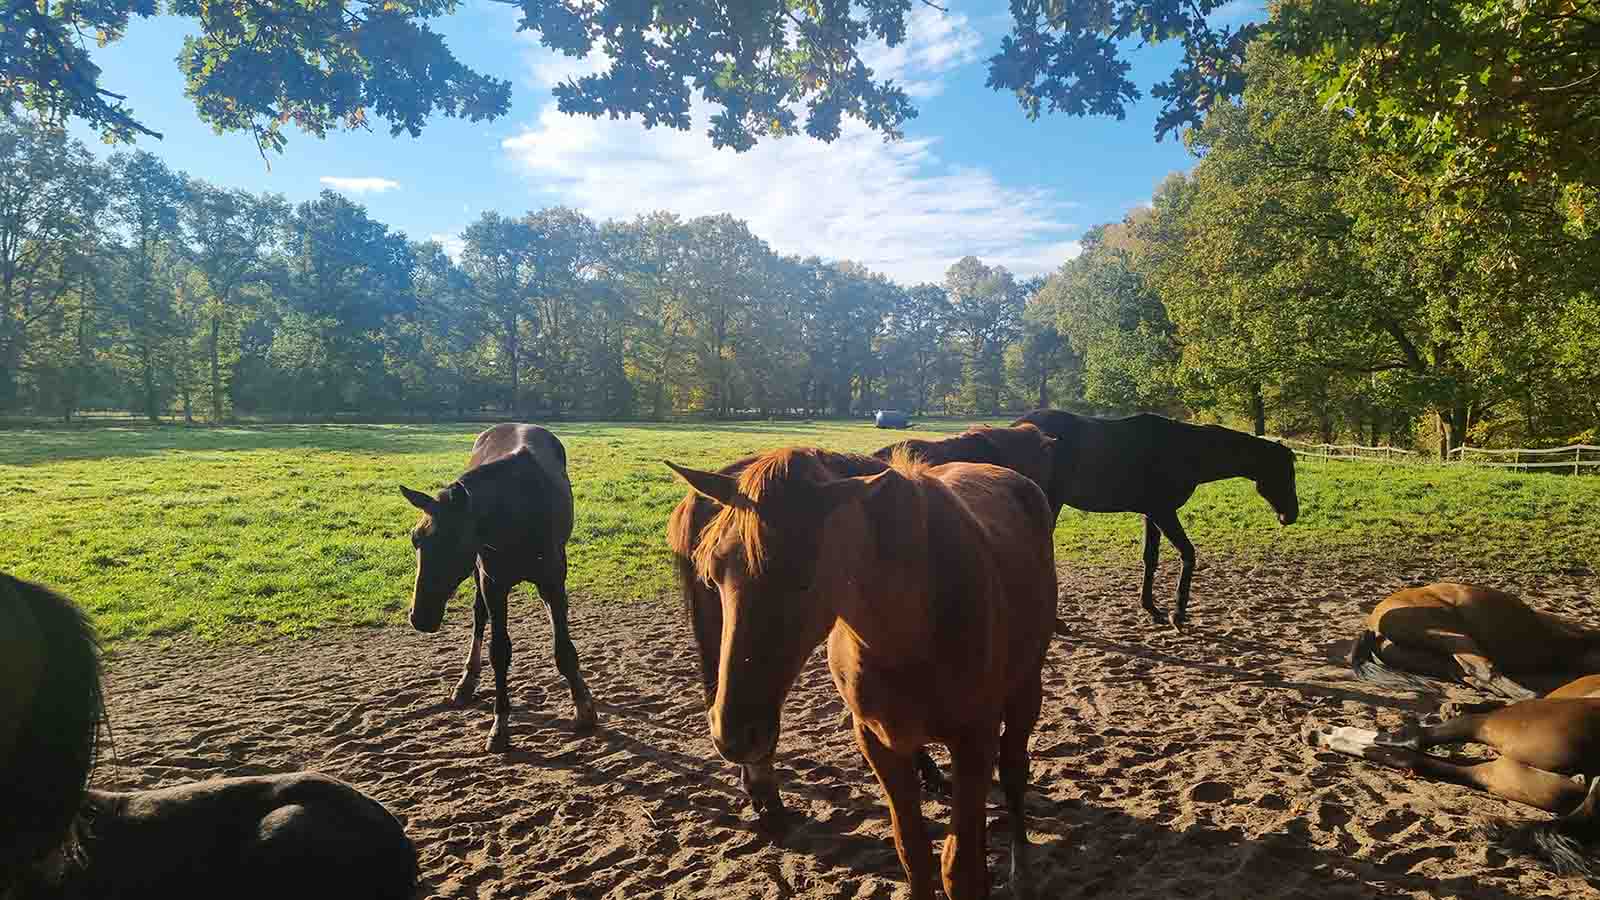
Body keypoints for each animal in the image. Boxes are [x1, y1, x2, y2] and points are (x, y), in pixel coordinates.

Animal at [399, 423, 596, 753]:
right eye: (416, 539)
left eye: (454, 542)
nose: (420, 617)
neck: (515, 514)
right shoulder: (493, 583)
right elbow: (499, 652)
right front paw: (500, 725)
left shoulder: (553, 582)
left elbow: (564, 649)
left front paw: (583, 707)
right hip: (480, 577)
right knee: (479, 617)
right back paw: (466, 681)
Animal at [667, 448, 1059, 900]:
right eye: (713, 571)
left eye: (805, 578)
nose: (733, 734)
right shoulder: (877, 741)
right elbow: (914, 855)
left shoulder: (975, 741)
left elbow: (961, 870)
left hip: (1026, 689)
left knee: (1014, 770)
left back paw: (1021, 868)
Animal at [1012, 408, 1299, 626]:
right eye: (1283, 472)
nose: (1291, 515)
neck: (1184, 451)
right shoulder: (1164, 512)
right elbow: (1188, 553)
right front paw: (1177, 613)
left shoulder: (1152, 514)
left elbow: (1151, 558)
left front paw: (1151, 608)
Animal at [1350, 583, 1600, 701]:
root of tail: (1372, 627)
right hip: (1453, 636)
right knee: (1483, 670)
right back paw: (1531, 696)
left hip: (1439, 658)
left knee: (1469, 675)